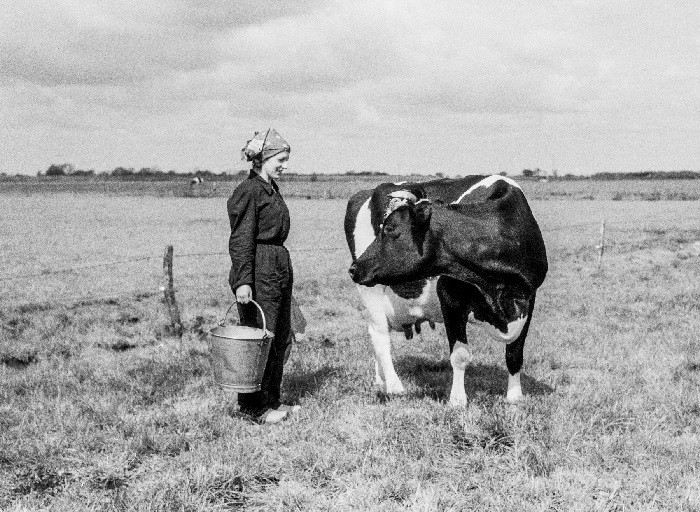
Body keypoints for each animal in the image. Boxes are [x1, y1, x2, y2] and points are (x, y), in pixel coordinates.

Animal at [344, 175, 548, 404]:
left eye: (389, 229)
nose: (354, 268)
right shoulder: (449, 298)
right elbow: (459, 355)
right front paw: (457, 400)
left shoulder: (528, 298)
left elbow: (514, 353)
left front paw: (514, 397)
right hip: (372, 293)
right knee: (379, 336)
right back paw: (394, 386)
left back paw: (380, 380)